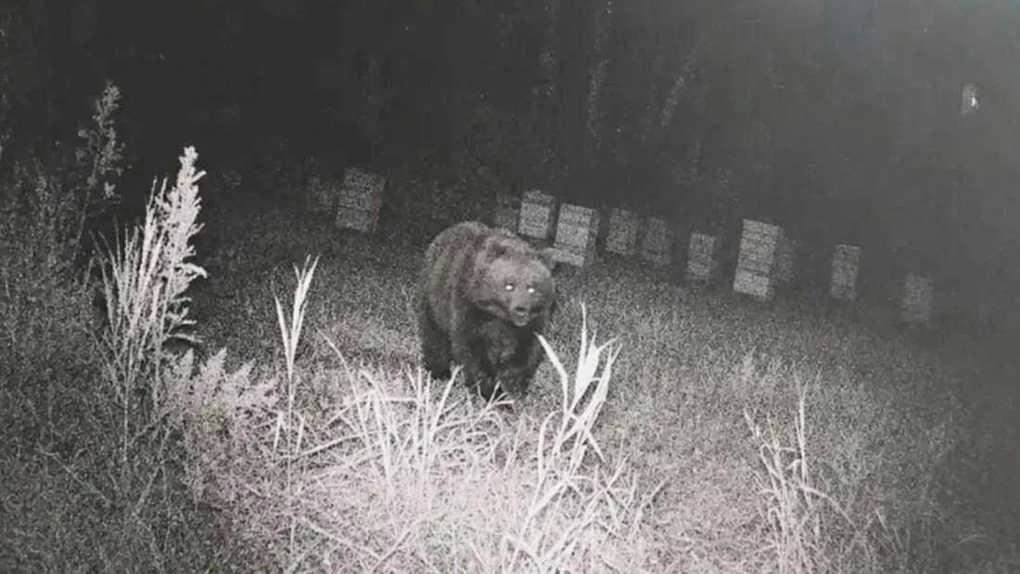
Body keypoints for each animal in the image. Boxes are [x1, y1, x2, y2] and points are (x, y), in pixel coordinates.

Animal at [417, 221, 557, 401]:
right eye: (509, 285)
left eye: (532, 287)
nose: (521, 309)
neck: (500, 316)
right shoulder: (468, 305)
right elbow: (473, 349)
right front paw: (489, 390)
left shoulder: (535, 319)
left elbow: (527, 350)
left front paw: (513, 386)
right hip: (434, 295)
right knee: (434, 331)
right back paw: (438, 371)